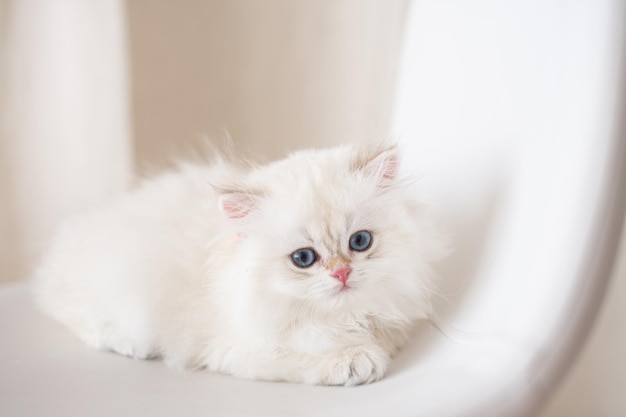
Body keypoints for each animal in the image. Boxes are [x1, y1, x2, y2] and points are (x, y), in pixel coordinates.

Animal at [33, 142, 444, 384]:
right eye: (304, 258)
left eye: (359, 242)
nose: (342, 273)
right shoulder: (236, 350)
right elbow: (303, 357)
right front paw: (355, 360)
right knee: (80, 320)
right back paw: (128, 346)